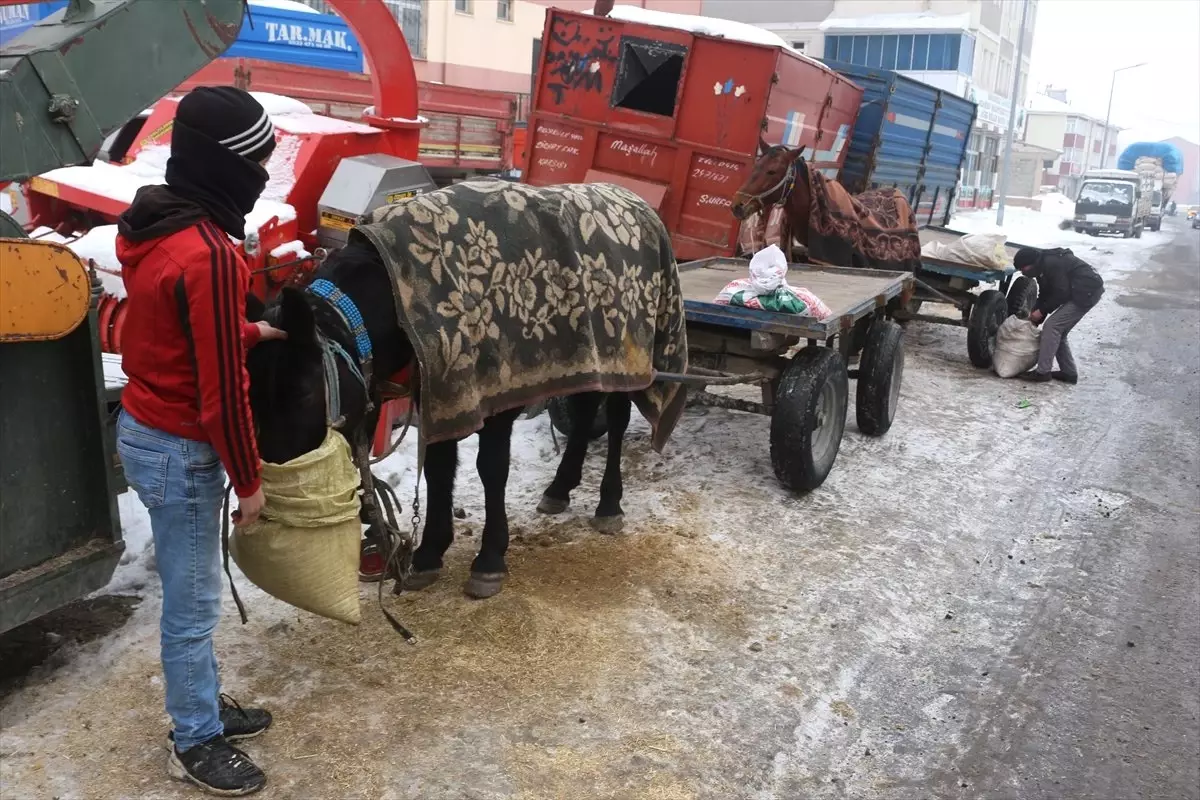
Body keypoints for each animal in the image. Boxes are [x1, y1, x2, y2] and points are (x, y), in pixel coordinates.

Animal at [246, 176, 686, 599]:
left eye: (303, 391)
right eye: (250, 394)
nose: (275, 506)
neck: (394, 291)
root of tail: (639, 204)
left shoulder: (494, 397)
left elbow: (490, 468)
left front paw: (489, 559)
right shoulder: (442, 393)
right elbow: (440, 469)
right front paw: (428, 553)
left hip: (626, 356)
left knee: (615, 419)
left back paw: (609, 503)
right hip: (588, 358)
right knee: (584, 411)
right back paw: (560, 487)